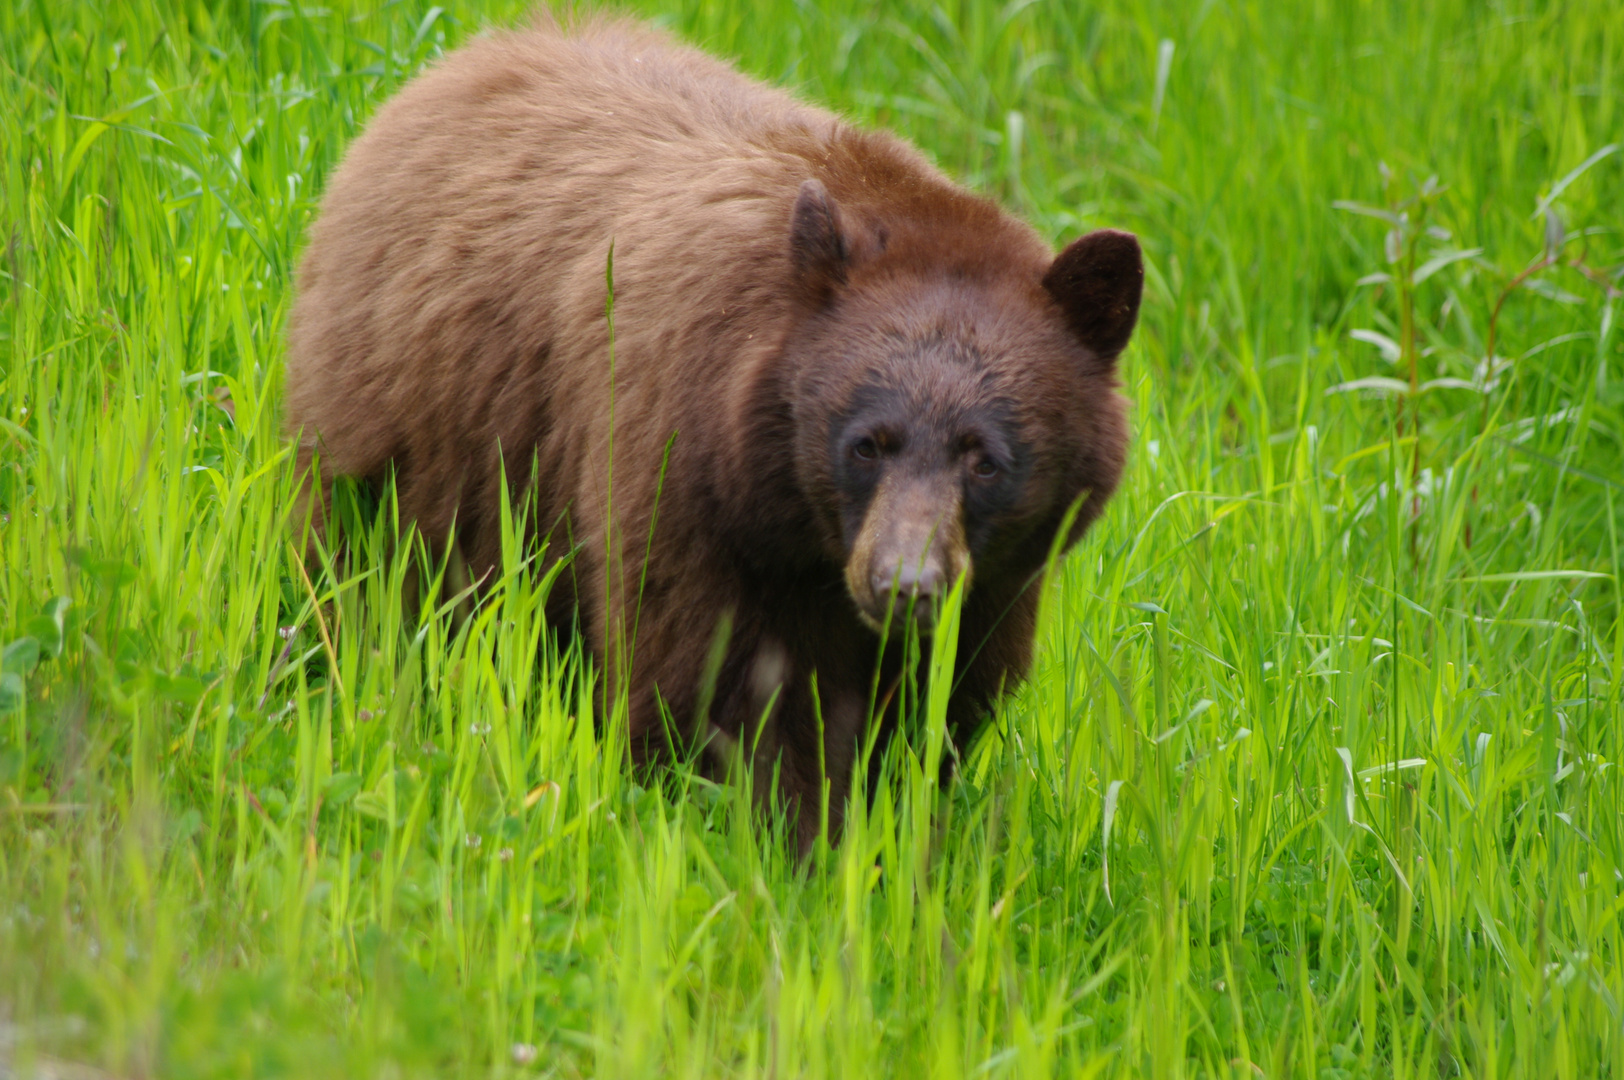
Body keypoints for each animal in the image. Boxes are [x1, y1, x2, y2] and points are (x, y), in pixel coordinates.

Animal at [282, 12, 1143, 844]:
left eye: (985, 459)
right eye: (867, 442)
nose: (904, 584)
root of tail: (450, 67)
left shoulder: (996, 581)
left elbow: (933, 712)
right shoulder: (684, 478)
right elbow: (711, 690)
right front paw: (783, 842)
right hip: (402, 435)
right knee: (362, 572)